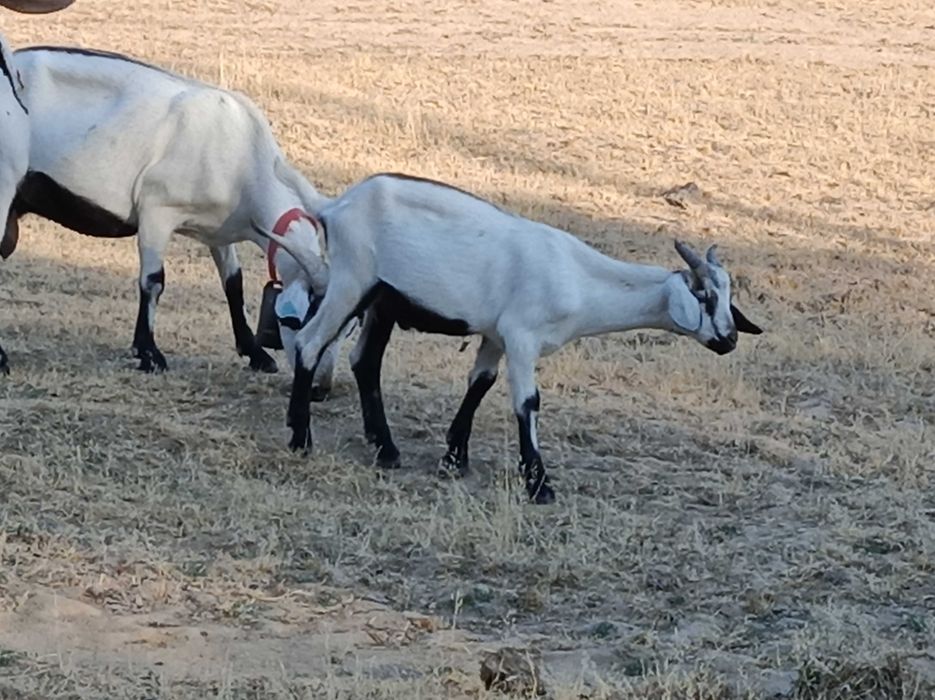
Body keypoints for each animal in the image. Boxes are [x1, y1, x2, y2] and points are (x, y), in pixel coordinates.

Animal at [2, 45, 343, 395]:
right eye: (295, 320)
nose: (320, 388)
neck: (243, 152)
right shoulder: (157, 210)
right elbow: (153, 281)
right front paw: (149, 354)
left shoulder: (219, 231)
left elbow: (233, 283)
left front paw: (256, 354)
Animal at [255, 173, 764, 504]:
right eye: (704, 295)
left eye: (728, 297)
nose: (728, 340)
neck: (578, 276)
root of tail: (334, 206)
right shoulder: (522, 337)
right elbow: (527, 403)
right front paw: (539, 483)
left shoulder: (495, 336)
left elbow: (479, 384)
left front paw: (454, 458)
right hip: (351, 282)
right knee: (310, 343)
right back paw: (301, 437)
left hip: (381, 300)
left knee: (365, 361)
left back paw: (386, 449)